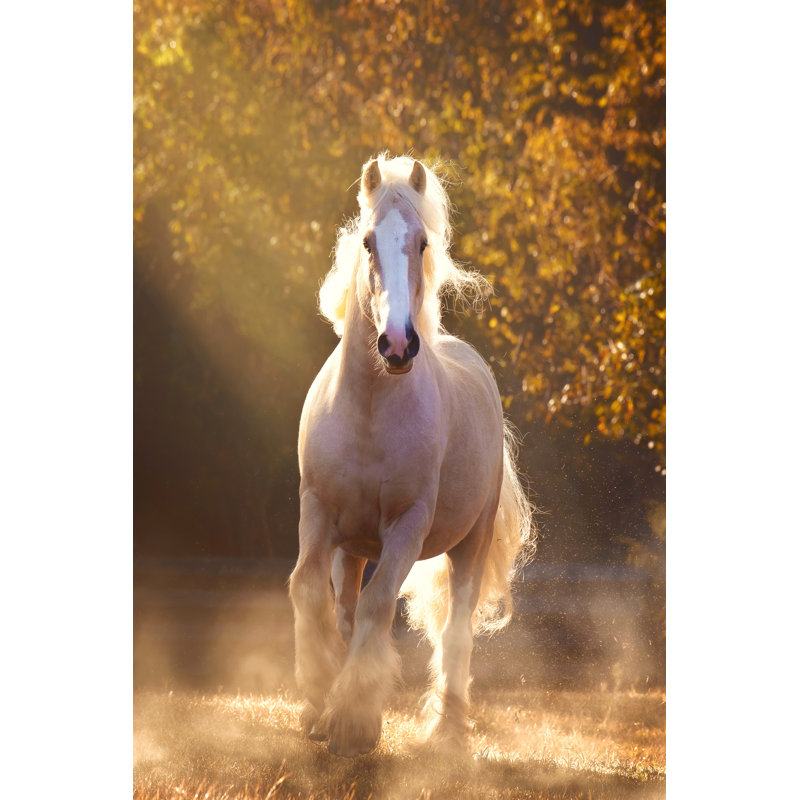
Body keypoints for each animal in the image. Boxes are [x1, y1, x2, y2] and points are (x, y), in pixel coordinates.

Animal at [289, 154, 534, 757]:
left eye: (422, 242)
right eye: (368, 241)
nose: (397, 345)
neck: (370, 410)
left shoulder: (406, 526)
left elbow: (379, 604)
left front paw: (353, 722)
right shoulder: (317, 511)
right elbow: (308, 588)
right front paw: (319, 695)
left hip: (470, 543)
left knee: (457, 630)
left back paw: (446, 731)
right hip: (352, 546)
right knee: (345, 607)